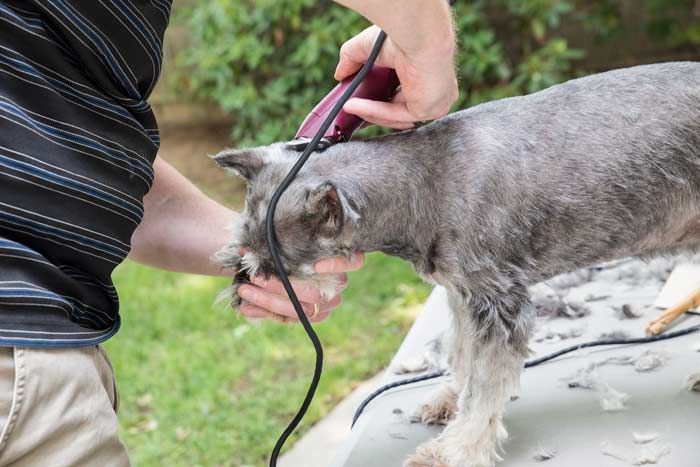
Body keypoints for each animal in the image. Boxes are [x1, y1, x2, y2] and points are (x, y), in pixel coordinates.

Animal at [213, 63, 700, 467]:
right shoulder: (465, 295)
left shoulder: (500, 304)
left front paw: (456, 451)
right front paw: (450, 399)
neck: (422, 184)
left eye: (269, 269)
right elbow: (463, 356)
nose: (240, 294)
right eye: (241, 250)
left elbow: (485, 386)